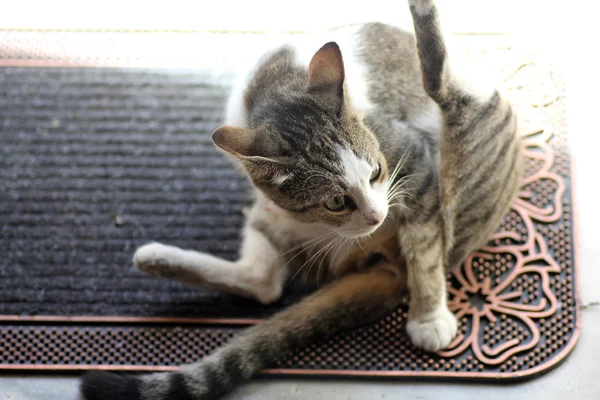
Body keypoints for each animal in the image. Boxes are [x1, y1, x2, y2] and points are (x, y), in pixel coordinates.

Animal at [78, 1, 520, 398]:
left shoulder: (416, 161)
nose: (377, 216)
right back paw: (155, 258)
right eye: (335, 202)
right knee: (264, 283)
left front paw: (428, 318)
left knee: (441, 81)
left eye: (376, 172)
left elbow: (425, 250)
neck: (279, 85)